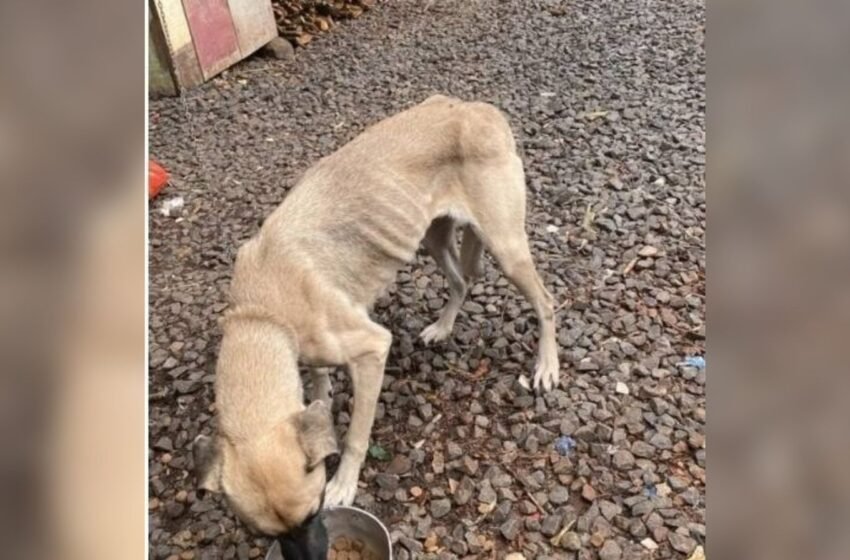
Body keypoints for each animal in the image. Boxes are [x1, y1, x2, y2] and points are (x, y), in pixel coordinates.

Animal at [195, 96, 560, 552]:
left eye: (315, 511)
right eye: (263, 534)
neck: (262, 312)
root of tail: (477, 108)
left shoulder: (371, 349)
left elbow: (356, 435)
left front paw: (344, 483)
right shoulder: (311, 349)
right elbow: (318, 382)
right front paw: (322, 404)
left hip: (506, 248)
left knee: (546, 302)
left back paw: (547, 365)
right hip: (431, 235)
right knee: (461, 281)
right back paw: (442, 328)